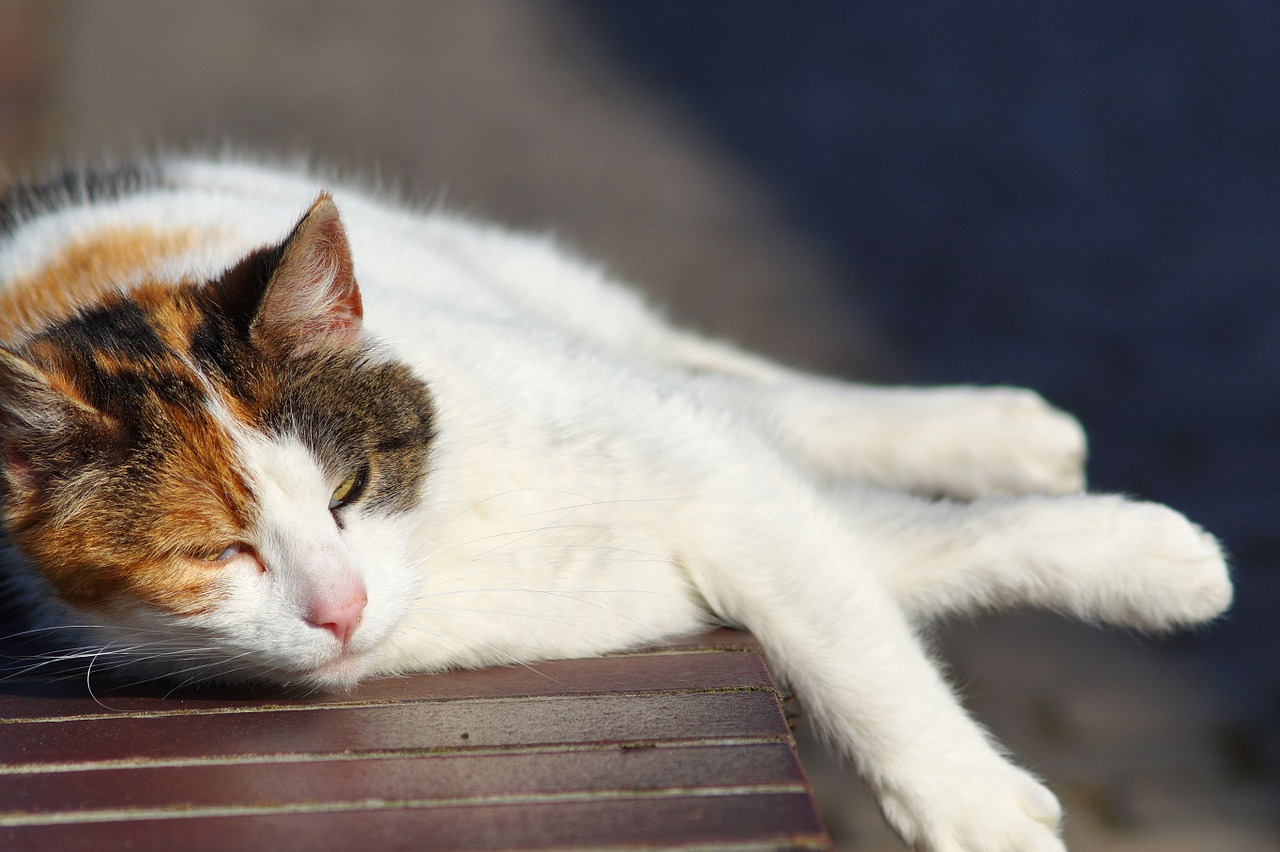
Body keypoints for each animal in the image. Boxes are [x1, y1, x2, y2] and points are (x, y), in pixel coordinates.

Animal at [2, 157, 1228, 849]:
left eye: (349, 490)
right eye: (214, 552)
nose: (341, 609)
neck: (450, 536)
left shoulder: (705, 474)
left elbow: (851, 643)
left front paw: (969, 798)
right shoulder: (699, 547)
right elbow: (879, 570)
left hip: (545, 299)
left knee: (739, 383)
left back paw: (1006, 428)